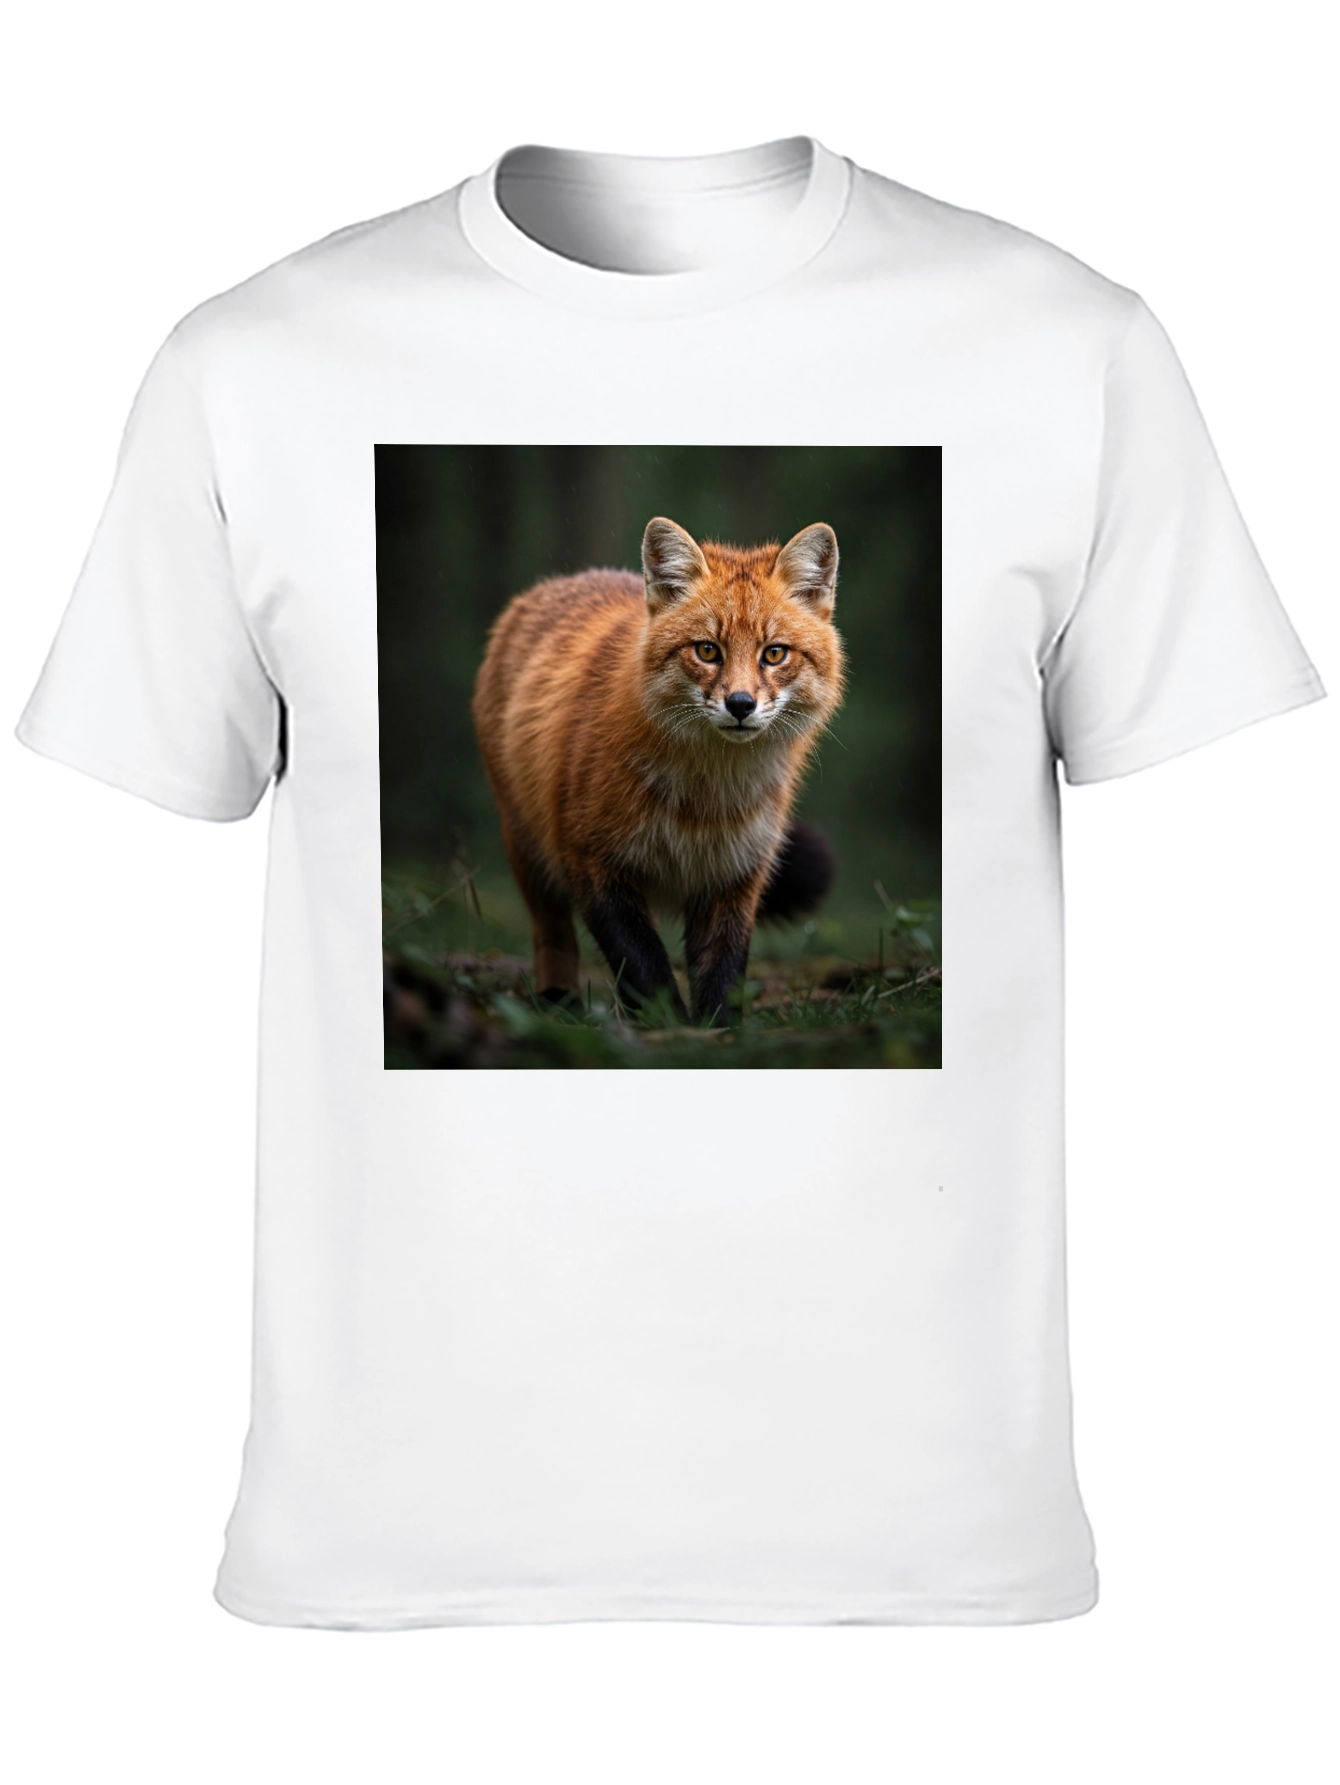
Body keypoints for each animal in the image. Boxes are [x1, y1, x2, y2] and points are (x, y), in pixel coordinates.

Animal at [472, 515, 845, 1023]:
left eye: (774, 654)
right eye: (707, 651)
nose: (741, 704)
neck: (702, 805)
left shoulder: (735, 873)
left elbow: (723, 972)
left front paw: (717, 1032)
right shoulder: (591, 860)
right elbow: (644, 967)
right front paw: (669, 1028)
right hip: (528, 851)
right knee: (552, 936)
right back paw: (559, 1002)